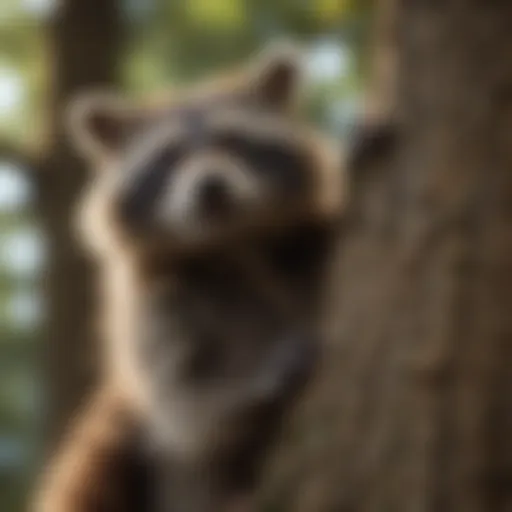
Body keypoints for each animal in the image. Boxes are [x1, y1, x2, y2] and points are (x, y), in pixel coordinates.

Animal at [34, 45, 348, 512]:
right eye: (170, 157)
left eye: (233, 142)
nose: (211, 187)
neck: (230, 243)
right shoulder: (156, 305)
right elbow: (188, 409)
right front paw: (252, 392)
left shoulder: (311, 246)